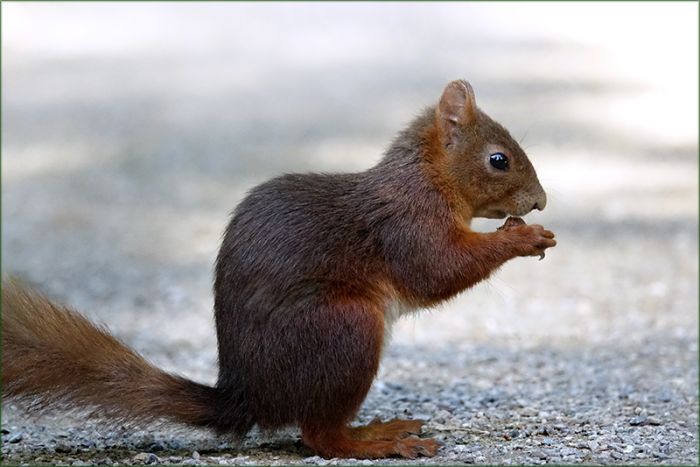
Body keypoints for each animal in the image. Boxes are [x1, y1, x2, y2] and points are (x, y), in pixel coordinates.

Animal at [2, 80, 556, 459]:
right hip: (344, 327)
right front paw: (521, 238)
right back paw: (375, 440)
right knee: (320, 437)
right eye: (499, 159)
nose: (541, 201)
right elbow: (438, 270)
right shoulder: (406, 225)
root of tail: (248, 397)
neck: (426, 180)